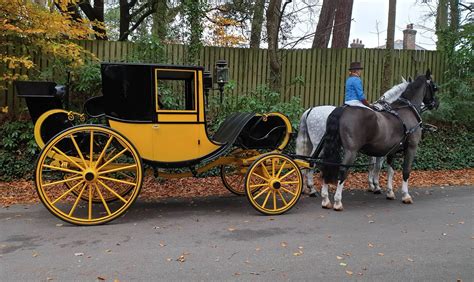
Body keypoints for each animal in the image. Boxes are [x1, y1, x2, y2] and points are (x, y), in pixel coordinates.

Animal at [318, 70, 436, 210]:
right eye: (434, 87)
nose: (435, 103)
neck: (405, 109)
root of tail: (342, 109)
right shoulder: (411, 148)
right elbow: (405, 171)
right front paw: (405, 195)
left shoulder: (391, 151)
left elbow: (390, 171)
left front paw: (388, 192)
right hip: (351, 151)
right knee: (342, 171)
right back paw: (337, 201)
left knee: (327, 165)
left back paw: (325, 199)